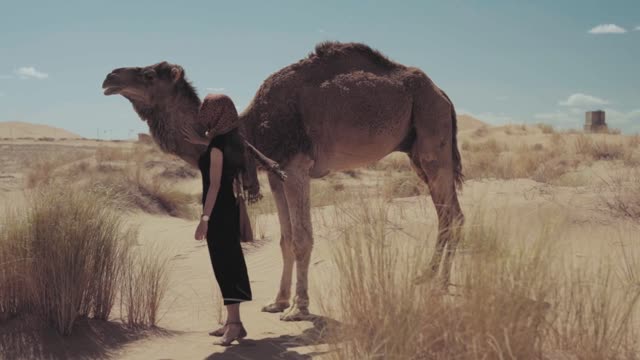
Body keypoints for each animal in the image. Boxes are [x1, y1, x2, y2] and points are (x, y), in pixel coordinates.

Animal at [104, 41, 464, 320]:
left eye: (149, 74)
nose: (109, 77)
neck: (249, 128)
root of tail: (444, 94)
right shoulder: (275, 176)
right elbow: (286, 239)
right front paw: (277, 302)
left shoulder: (295, 167)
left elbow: (303, 238)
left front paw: (298, 309)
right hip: (417, 150)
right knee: (449, 213)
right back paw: (428, 276)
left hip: (432, 135)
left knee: (451, 214)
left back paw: (440, 283)